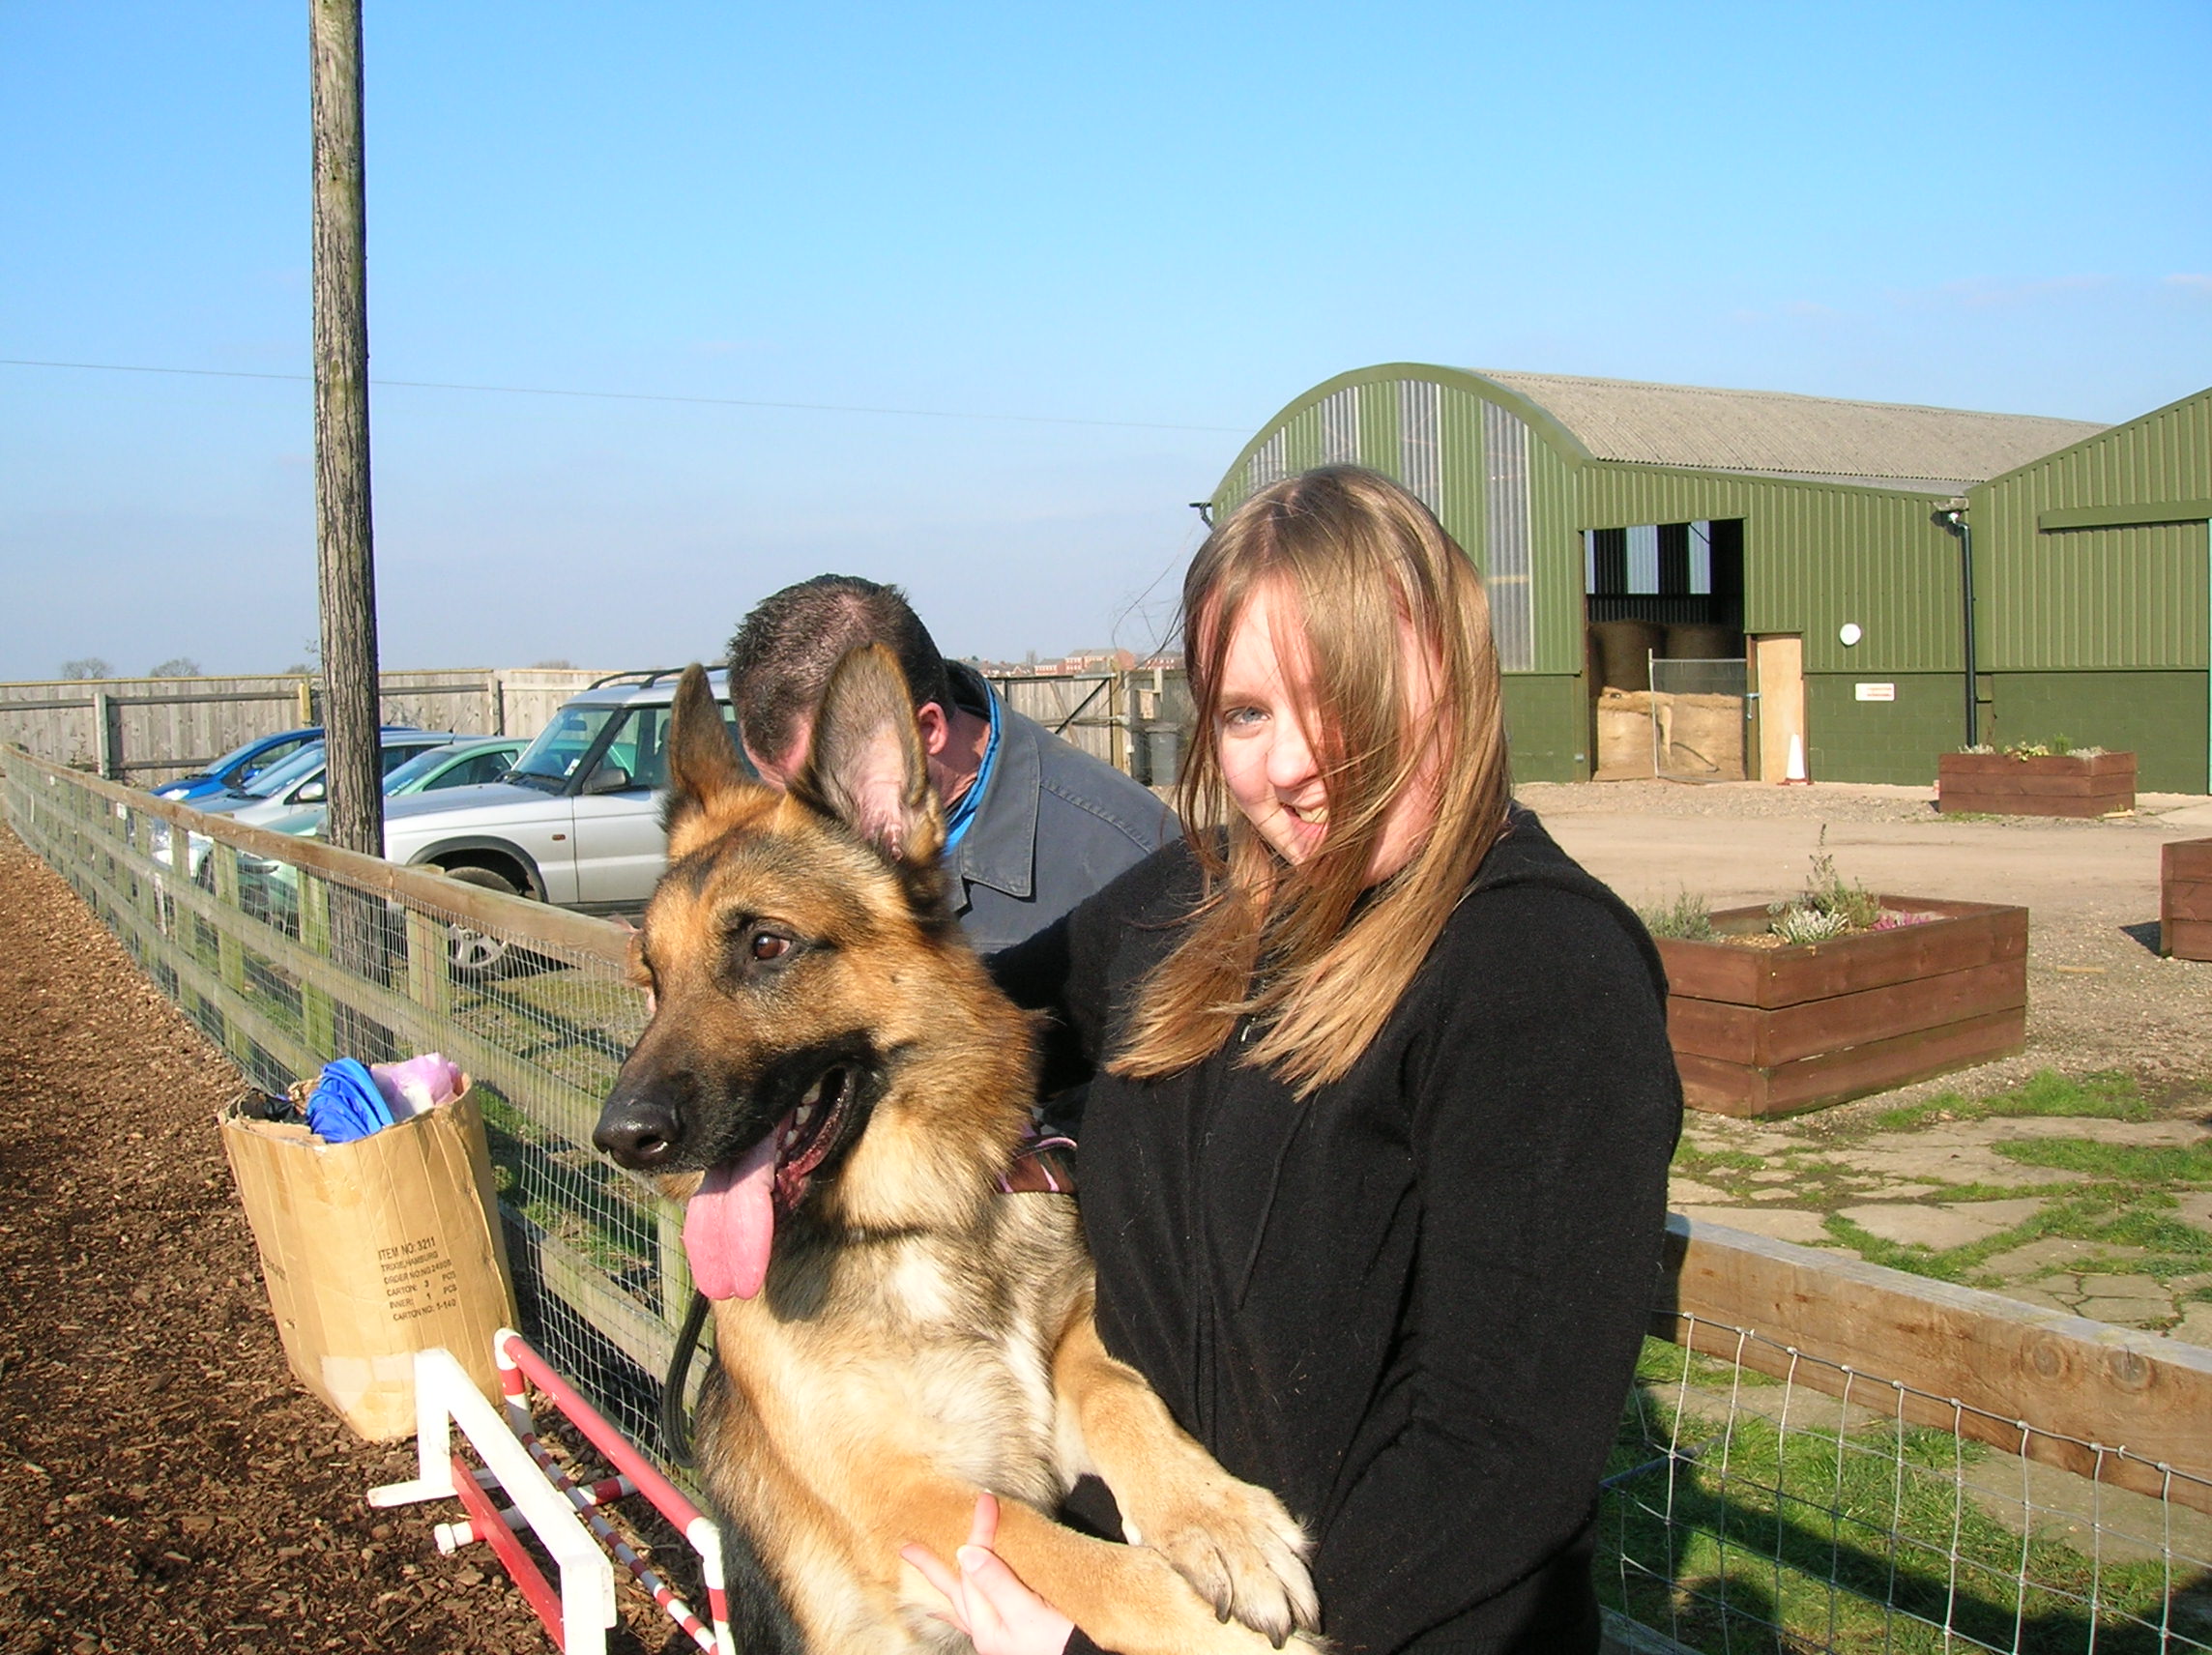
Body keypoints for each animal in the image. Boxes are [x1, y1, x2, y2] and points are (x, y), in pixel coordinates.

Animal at [593, 654, 1309, 1645]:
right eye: (654, 979)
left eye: (767, 945)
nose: (621, 1138)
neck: (924, 1220)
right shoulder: (915, 1499)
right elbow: (1072, 1559)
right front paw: (1205, 1623)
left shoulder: (1071, 1352)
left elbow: (1116, 1391)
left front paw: (1219, 1522)